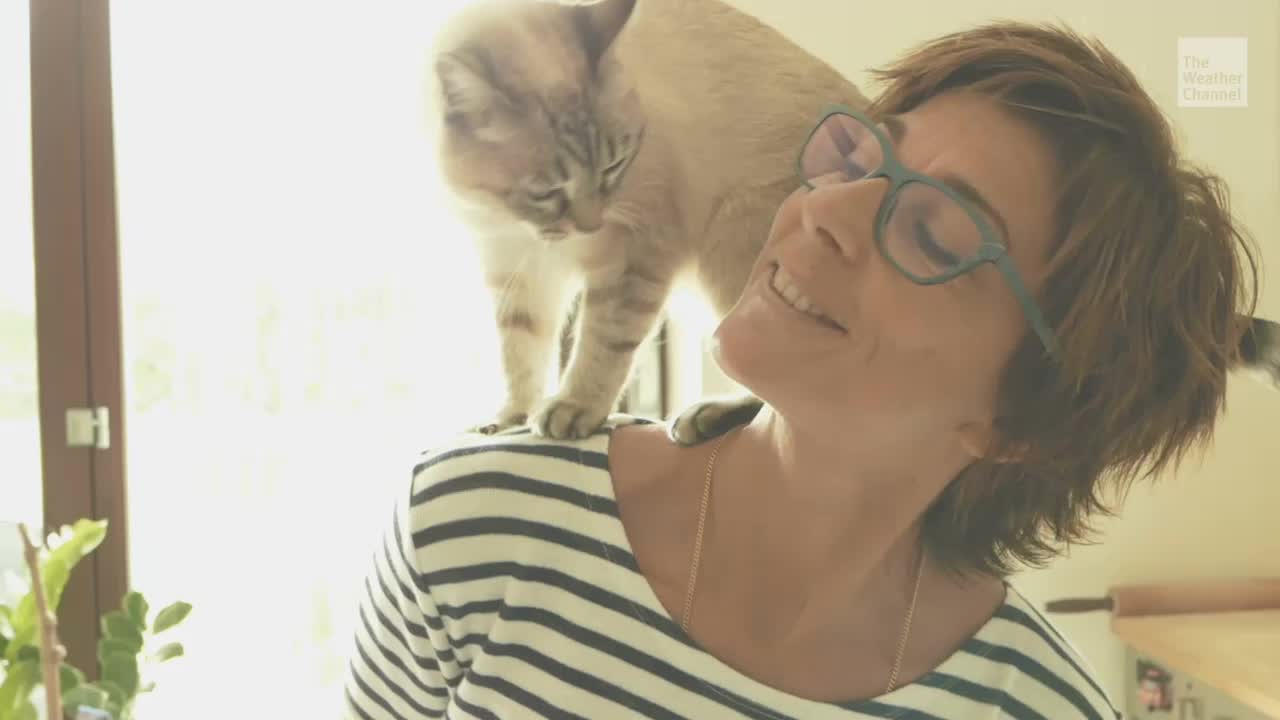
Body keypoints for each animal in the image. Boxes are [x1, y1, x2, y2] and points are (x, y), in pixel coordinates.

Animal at [426, 0, 871, 440]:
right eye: (546, 192)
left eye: (613, 167)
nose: (591, 225)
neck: (519, 224)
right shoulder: (516, 266)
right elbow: (520, 351)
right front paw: (510, 418)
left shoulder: (632, 255)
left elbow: (602, 343)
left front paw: (573, 408)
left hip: (731, 257)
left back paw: (704, 416)